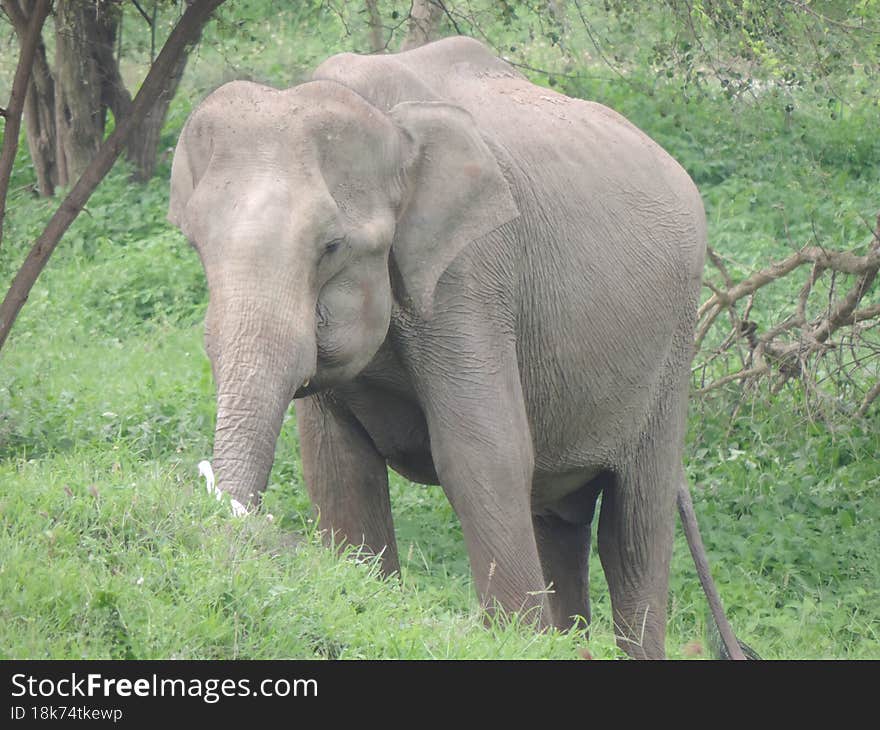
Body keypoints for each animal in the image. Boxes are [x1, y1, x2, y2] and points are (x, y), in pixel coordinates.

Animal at [168, 37, 740, 656]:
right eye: (194, 243)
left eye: (331, 246)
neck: (385, 121)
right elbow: (338, 470)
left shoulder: (471, 274)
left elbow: (483, 454)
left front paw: (513, 641)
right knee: (558, 522)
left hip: (671, 350)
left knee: (633, 528)